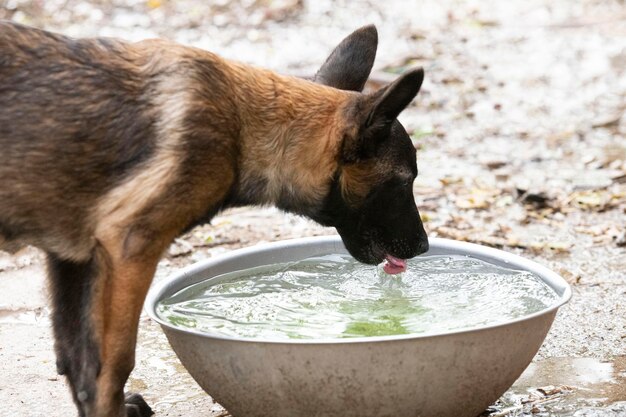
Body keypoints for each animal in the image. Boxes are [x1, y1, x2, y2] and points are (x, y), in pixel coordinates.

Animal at [0, 21, 428, 414]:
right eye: (404, 181)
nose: (424, 246)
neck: (243, 128)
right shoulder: (130, 248)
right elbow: (114, 366)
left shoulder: (71, 259)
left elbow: (80, 364)